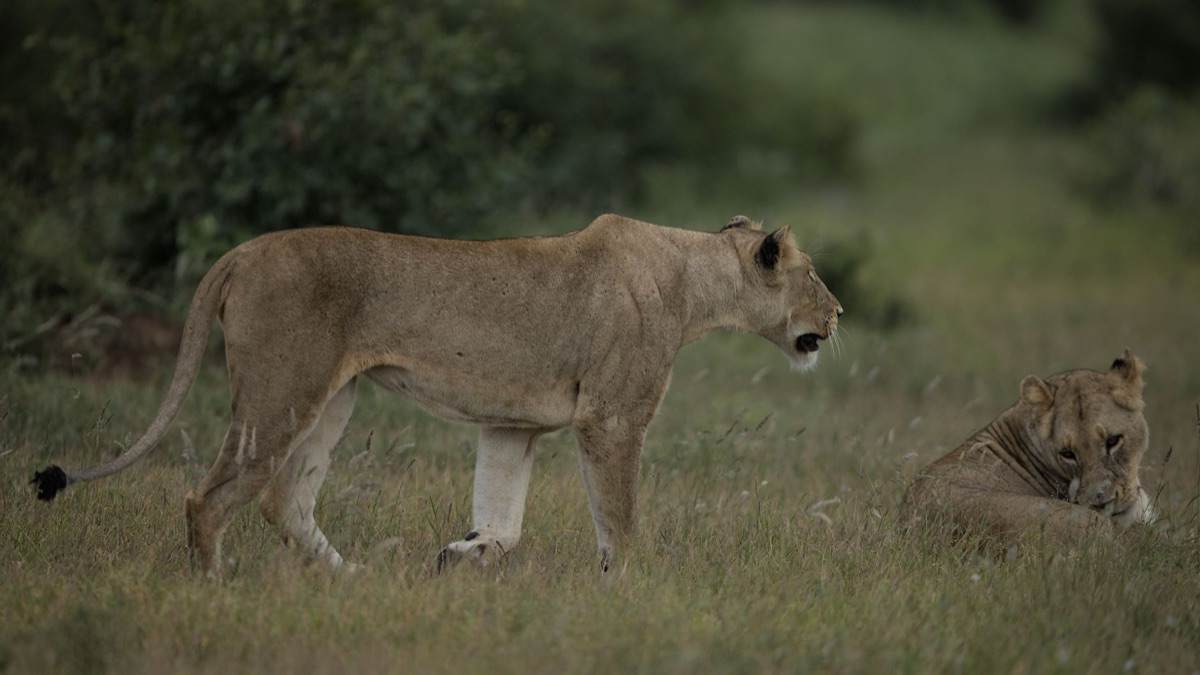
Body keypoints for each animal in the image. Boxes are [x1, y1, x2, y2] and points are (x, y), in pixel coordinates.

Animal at [31, 213, 842, 576]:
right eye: (812, 275)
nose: (837, 313)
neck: (695, 280)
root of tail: (244, 249)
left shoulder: (513, 425)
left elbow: (504, 518)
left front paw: (461, 552)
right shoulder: (610, 418)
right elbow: (621, 517)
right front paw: (630, 590)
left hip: (332, 398)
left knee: (284, 500)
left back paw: (353, 580)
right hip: (281, 392)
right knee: (210, 497)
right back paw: (214, 585)